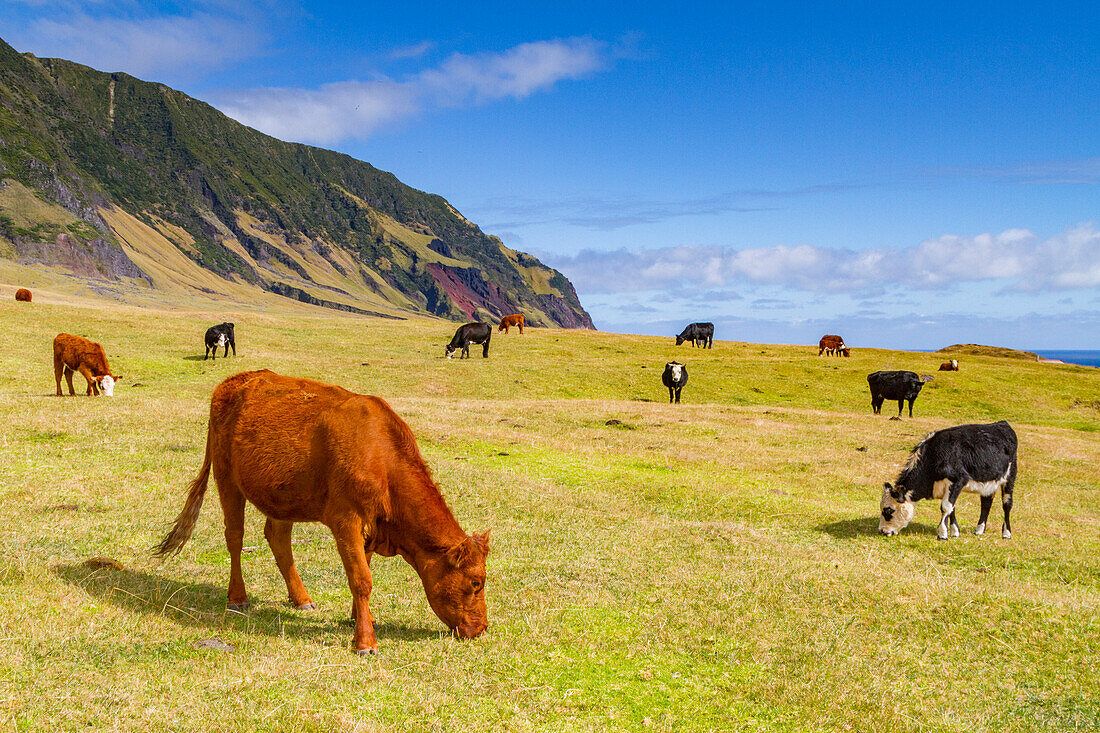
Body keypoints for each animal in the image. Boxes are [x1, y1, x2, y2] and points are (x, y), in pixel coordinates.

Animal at [157, 372, 492, 651]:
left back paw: (301, 599)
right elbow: (361, 578)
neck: (382, 458)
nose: (482, 628)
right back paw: (238, 598)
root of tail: (232, 381)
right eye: (477, 582)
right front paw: (365, 641)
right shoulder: (346, 519)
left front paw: (361, 619)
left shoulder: (369, 528)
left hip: (282, 495)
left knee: (278, 539)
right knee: (235, 536)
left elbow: (363, 569)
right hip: (227, 478)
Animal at [875, 416, 1020, 537]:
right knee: (986, 503)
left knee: (1007, 504)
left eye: (888, 510)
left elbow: (945, 507)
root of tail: (1002, 424)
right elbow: (952, 508)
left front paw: (943, 533)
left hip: (1010, 476)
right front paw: (954, 532)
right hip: (989, 482)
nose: (882, 530)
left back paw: (1006, 533)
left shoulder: (957, 480)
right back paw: (979, 529)